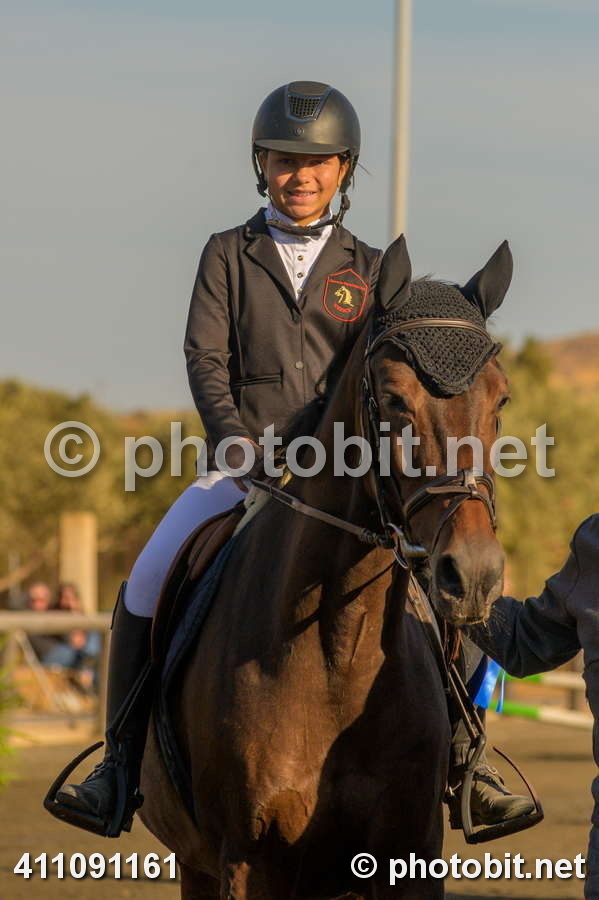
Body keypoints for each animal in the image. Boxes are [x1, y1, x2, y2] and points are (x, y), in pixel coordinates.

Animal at [139, 236, 513, 899]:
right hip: (199, 865)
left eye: (501, 401)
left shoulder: (410, 857)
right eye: (392, 398)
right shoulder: (246, 863)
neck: (339, 651)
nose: (473, 575)